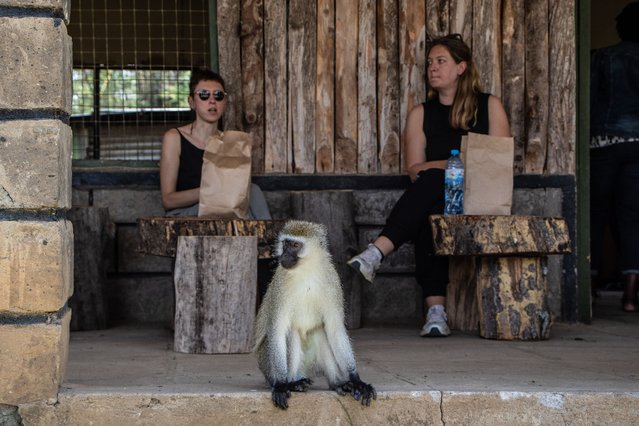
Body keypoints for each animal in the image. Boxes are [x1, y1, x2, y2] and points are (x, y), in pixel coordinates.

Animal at [254, 220, 378, 410]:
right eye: (286, 244)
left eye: (295, 245)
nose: (284, 256)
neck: (306, 270)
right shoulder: (280, 286)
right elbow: (278, 330)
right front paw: (282, 385)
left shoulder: (332, 281)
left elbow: (335, 329)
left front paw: (356, 380)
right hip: (266, 365)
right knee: (291, 332)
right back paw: (293, 383)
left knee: (320, 331)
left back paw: (339, 384)